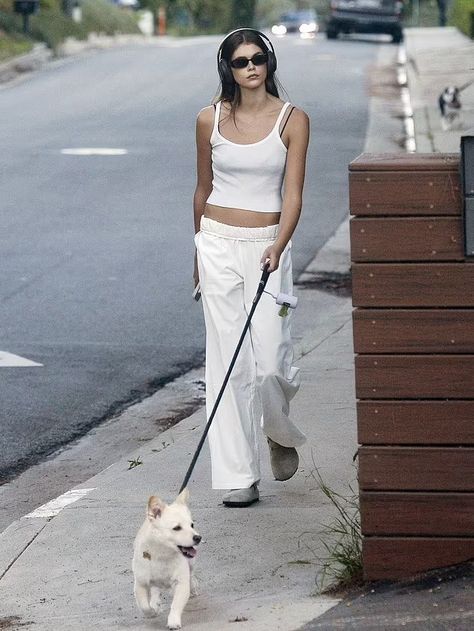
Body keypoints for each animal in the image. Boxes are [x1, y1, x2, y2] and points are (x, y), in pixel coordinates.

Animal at [132, 488, 201, 631]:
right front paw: (152, 612)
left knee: (191, 574)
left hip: (191, 565)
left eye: (192, 525)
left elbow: (176, 604)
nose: (198, 537)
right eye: (177, 528)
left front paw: (173, 621)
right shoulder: (140, 584)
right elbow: (144, 605)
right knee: (155, 589)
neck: (163, 554)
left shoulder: (181, 583)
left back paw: (193, 587)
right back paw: (155, 602)